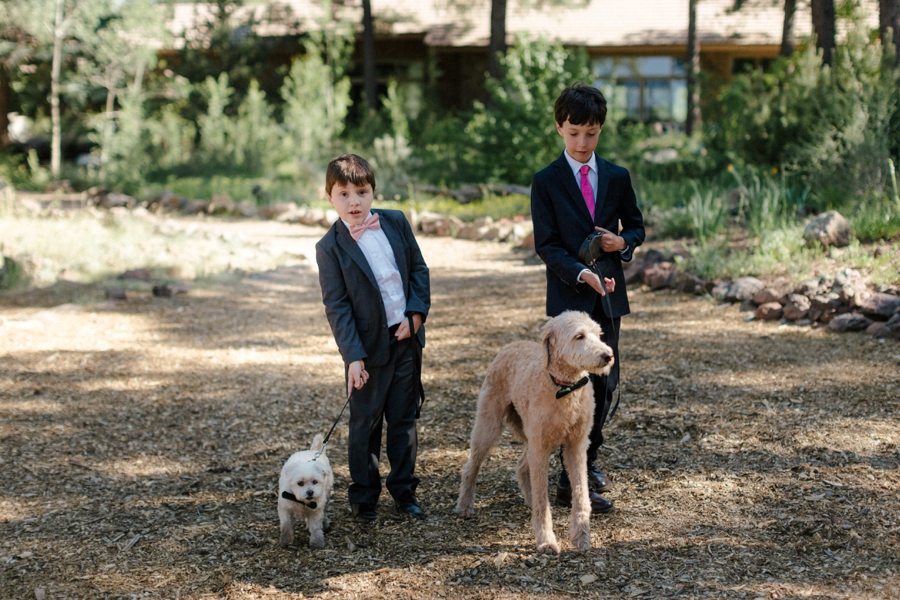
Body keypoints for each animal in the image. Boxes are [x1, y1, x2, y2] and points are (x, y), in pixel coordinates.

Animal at [454, 312, 616, 556]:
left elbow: (580, 494)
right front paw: (546, 540)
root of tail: (512, 344)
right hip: (489, 425)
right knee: (471, 466)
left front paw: (581, 537)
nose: (608, 356)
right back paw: (464, 505)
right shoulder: (541, 447)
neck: (564, 388)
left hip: (533, 436)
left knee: (522, 465)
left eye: (598, 334)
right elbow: (543, 501)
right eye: (579, 336)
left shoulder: (576, 446)